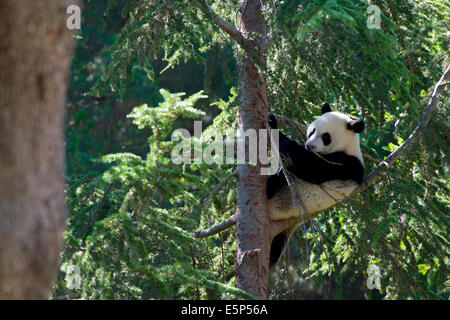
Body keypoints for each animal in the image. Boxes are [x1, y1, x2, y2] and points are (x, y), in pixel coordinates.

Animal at [268, 103, 364, 264]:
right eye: (312, 130)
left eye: (326, 137)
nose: (309, 146)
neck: (348, 145)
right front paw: (271, 120)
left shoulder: (345, 164)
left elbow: (308, 167)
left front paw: (286, 142)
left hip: (284, 199)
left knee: (279, 176)